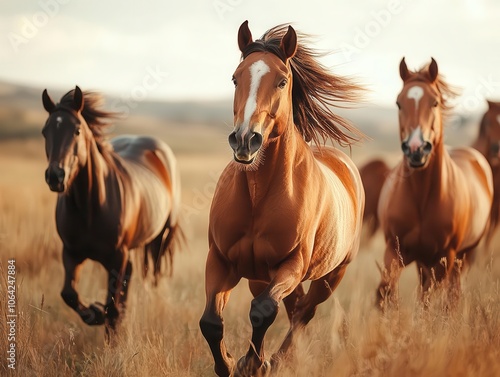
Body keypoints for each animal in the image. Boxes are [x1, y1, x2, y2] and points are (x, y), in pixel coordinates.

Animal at [41, 86, 182, 334]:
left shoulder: (117, 257)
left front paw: (106, 325)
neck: (90, 207)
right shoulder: (71, 253)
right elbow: (69, 294)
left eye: (77, 130)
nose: (55, 176)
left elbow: (112, 308)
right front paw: (94, 313)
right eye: (44, 132)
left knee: (154, 272)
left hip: (163, 235)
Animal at [197, 21, 366, 376]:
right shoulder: (221, 260)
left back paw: (279, 359)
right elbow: (211, 322)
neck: (258, 197)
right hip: (259, 276)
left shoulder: (292, 265)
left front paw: (253, 363)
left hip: (331, 274)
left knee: (304, 311)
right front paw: (230, 363)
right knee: (293, 307)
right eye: (236, 77)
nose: (244, 139)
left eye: (282, 81)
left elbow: (262, 311)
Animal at [376, 57, 494, 306]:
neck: (421, 196)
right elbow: (386, 294)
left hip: (463, 257)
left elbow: (429, 303)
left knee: (453, 295)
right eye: (399, 103)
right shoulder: (393, 252)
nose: (416, 149)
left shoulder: (444, 260)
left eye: (435, 103)